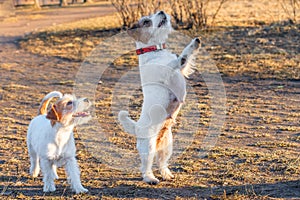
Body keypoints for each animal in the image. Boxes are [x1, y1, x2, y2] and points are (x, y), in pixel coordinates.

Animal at [118, 10, 200, 184]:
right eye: (146, 21)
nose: (162, 11)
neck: (155, 51)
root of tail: (136, 127)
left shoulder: (181, 69)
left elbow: (186, 60)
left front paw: (196, 43)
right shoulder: (169, 69)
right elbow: (182, 57)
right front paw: (191, 44)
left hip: (167, 147)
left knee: (162, 163)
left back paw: (167, 174)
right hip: (148, 147)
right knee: (145, 166)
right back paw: (150, 178)